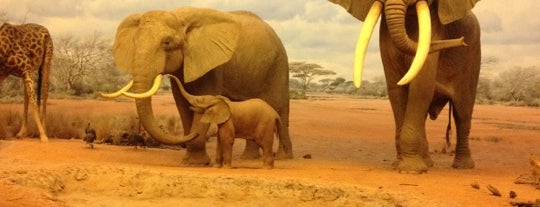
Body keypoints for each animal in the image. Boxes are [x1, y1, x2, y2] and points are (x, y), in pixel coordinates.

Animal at [100, 6, 292, 167]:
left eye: (167, 42)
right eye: (134, 42)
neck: (178, 17)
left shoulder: (212, 63)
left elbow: (203, 96)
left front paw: (196, 162)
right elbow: (182, 103)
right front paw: (190, 160)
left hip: (279, 65)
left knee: (279, 107)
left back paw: (283, 157)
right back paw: (249, 159)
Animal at [332, 0, 484, 173]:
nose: (461, 41)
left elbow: (421, 84)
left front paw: (410, 170)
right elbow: (395, 87)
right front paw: (399, 165)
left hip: (473, 56)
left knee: (462, 113)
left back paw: (463, 167)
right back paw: (428, 163)